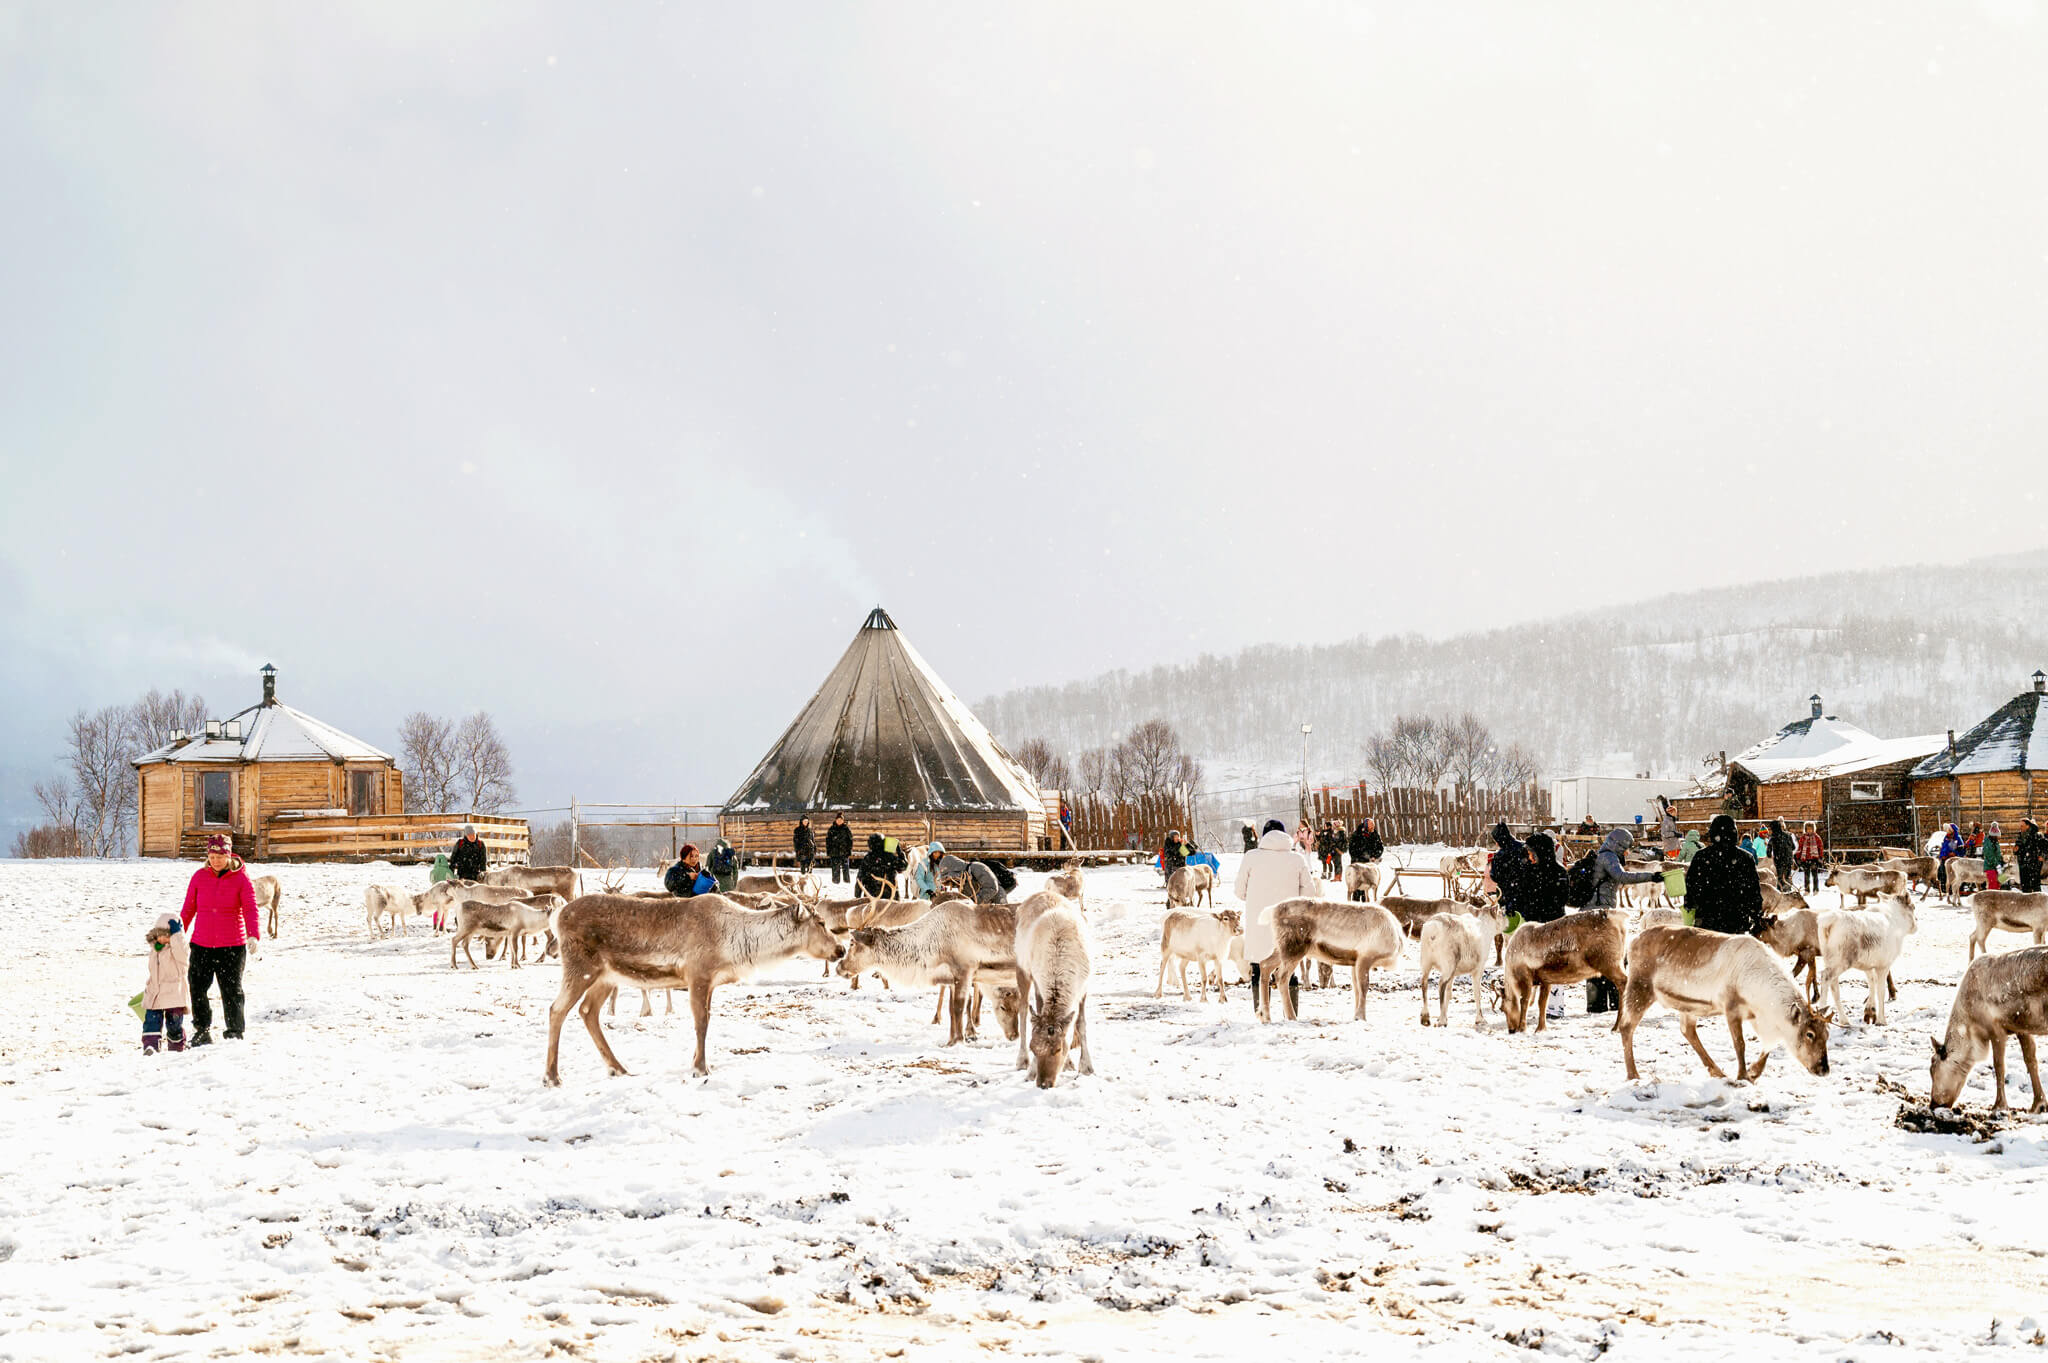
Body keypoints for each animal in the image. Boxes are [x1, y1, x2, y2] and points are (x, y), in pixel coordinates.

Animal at [543, 893, 844, 1083]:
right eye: (820, 922)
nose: (840, 949)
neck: (736, 944)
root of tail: (557, 916)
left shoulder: (709, 982)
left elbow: (706, 1020)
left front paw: (696, 1061)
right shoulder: (697, 974)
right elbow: (701, 1022)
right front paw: (701, 1069)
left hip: (606, 976)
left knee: (587, 1011)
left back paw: (618, 1068)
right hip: (580, 967)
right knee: (556, 1009)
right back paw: (552, 1077)